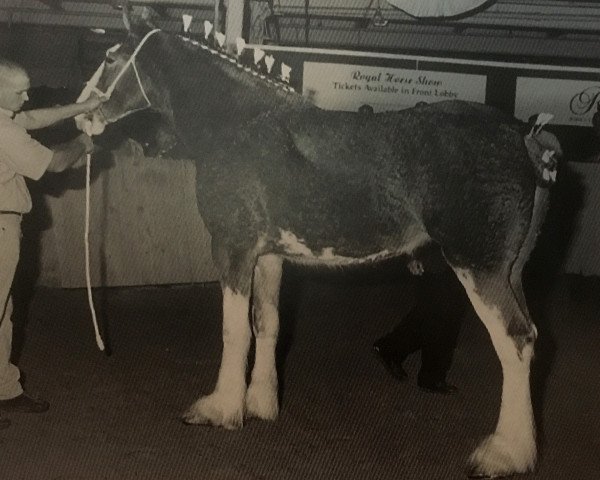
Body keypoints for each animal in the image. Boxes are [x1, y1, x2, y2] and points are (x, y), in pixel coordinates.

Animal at [76, 13, 564, 478]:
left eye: (112, 58)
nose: (82, 115)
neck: (238, 122)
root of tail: (525, 136)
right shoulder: (269, 257)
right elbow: (267, 324)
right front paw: (261, 404)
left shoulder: (232, 249)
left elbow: (234, 330)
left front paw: (220, 409)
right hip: (510, 271)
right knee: (530, 337)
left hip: (477, 266)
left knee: (515, 340)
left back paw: (502, 454)